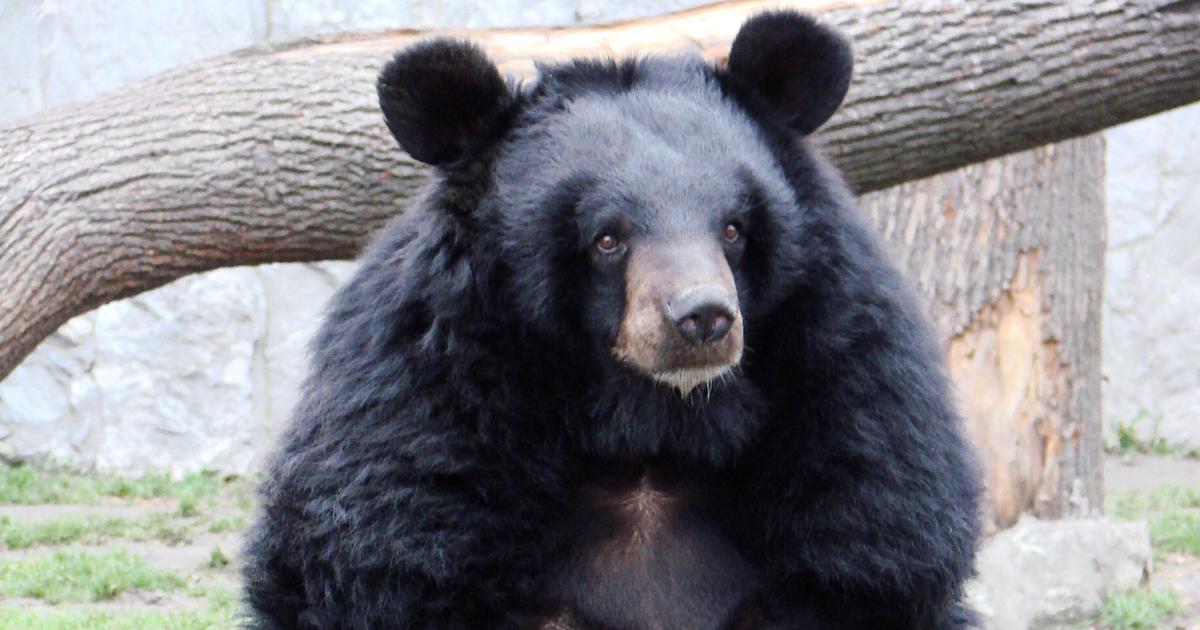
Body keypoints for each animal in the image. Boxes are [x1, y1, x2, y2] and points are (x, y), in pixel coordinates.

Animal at [242, 11, 982, 630]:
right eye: (607, 238)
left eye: (734, 229)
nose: (703, 319)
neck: (652, 430)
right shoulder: (418, 425)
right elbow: (384, 548)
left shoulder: (856, 424)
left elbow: (872, 532)